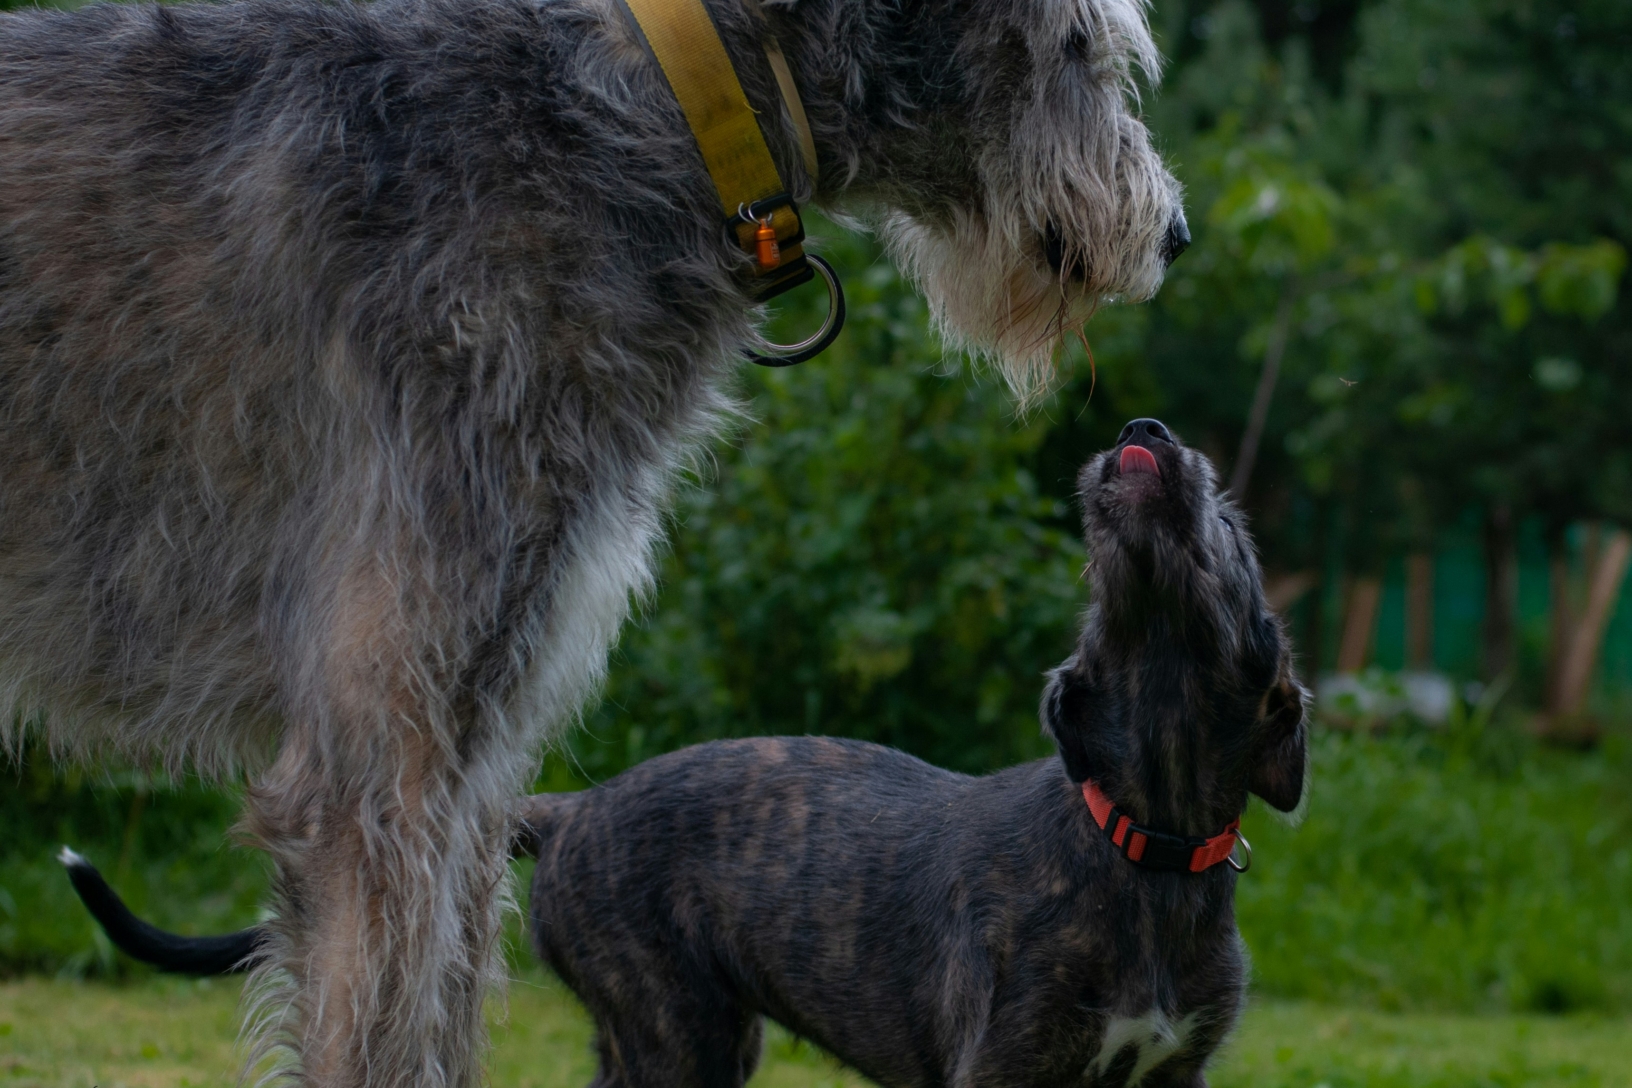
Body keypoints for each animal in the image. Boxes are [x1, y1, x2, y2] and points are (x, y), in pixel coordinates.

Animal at [525, 417, 1312, 1088]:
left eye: (1231, 528)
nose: (1142, 429)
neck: (1146, 839)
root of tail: (574, 810)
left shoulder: (1174, 1066)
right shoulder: (1000, 1065)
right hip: (676, 1032)